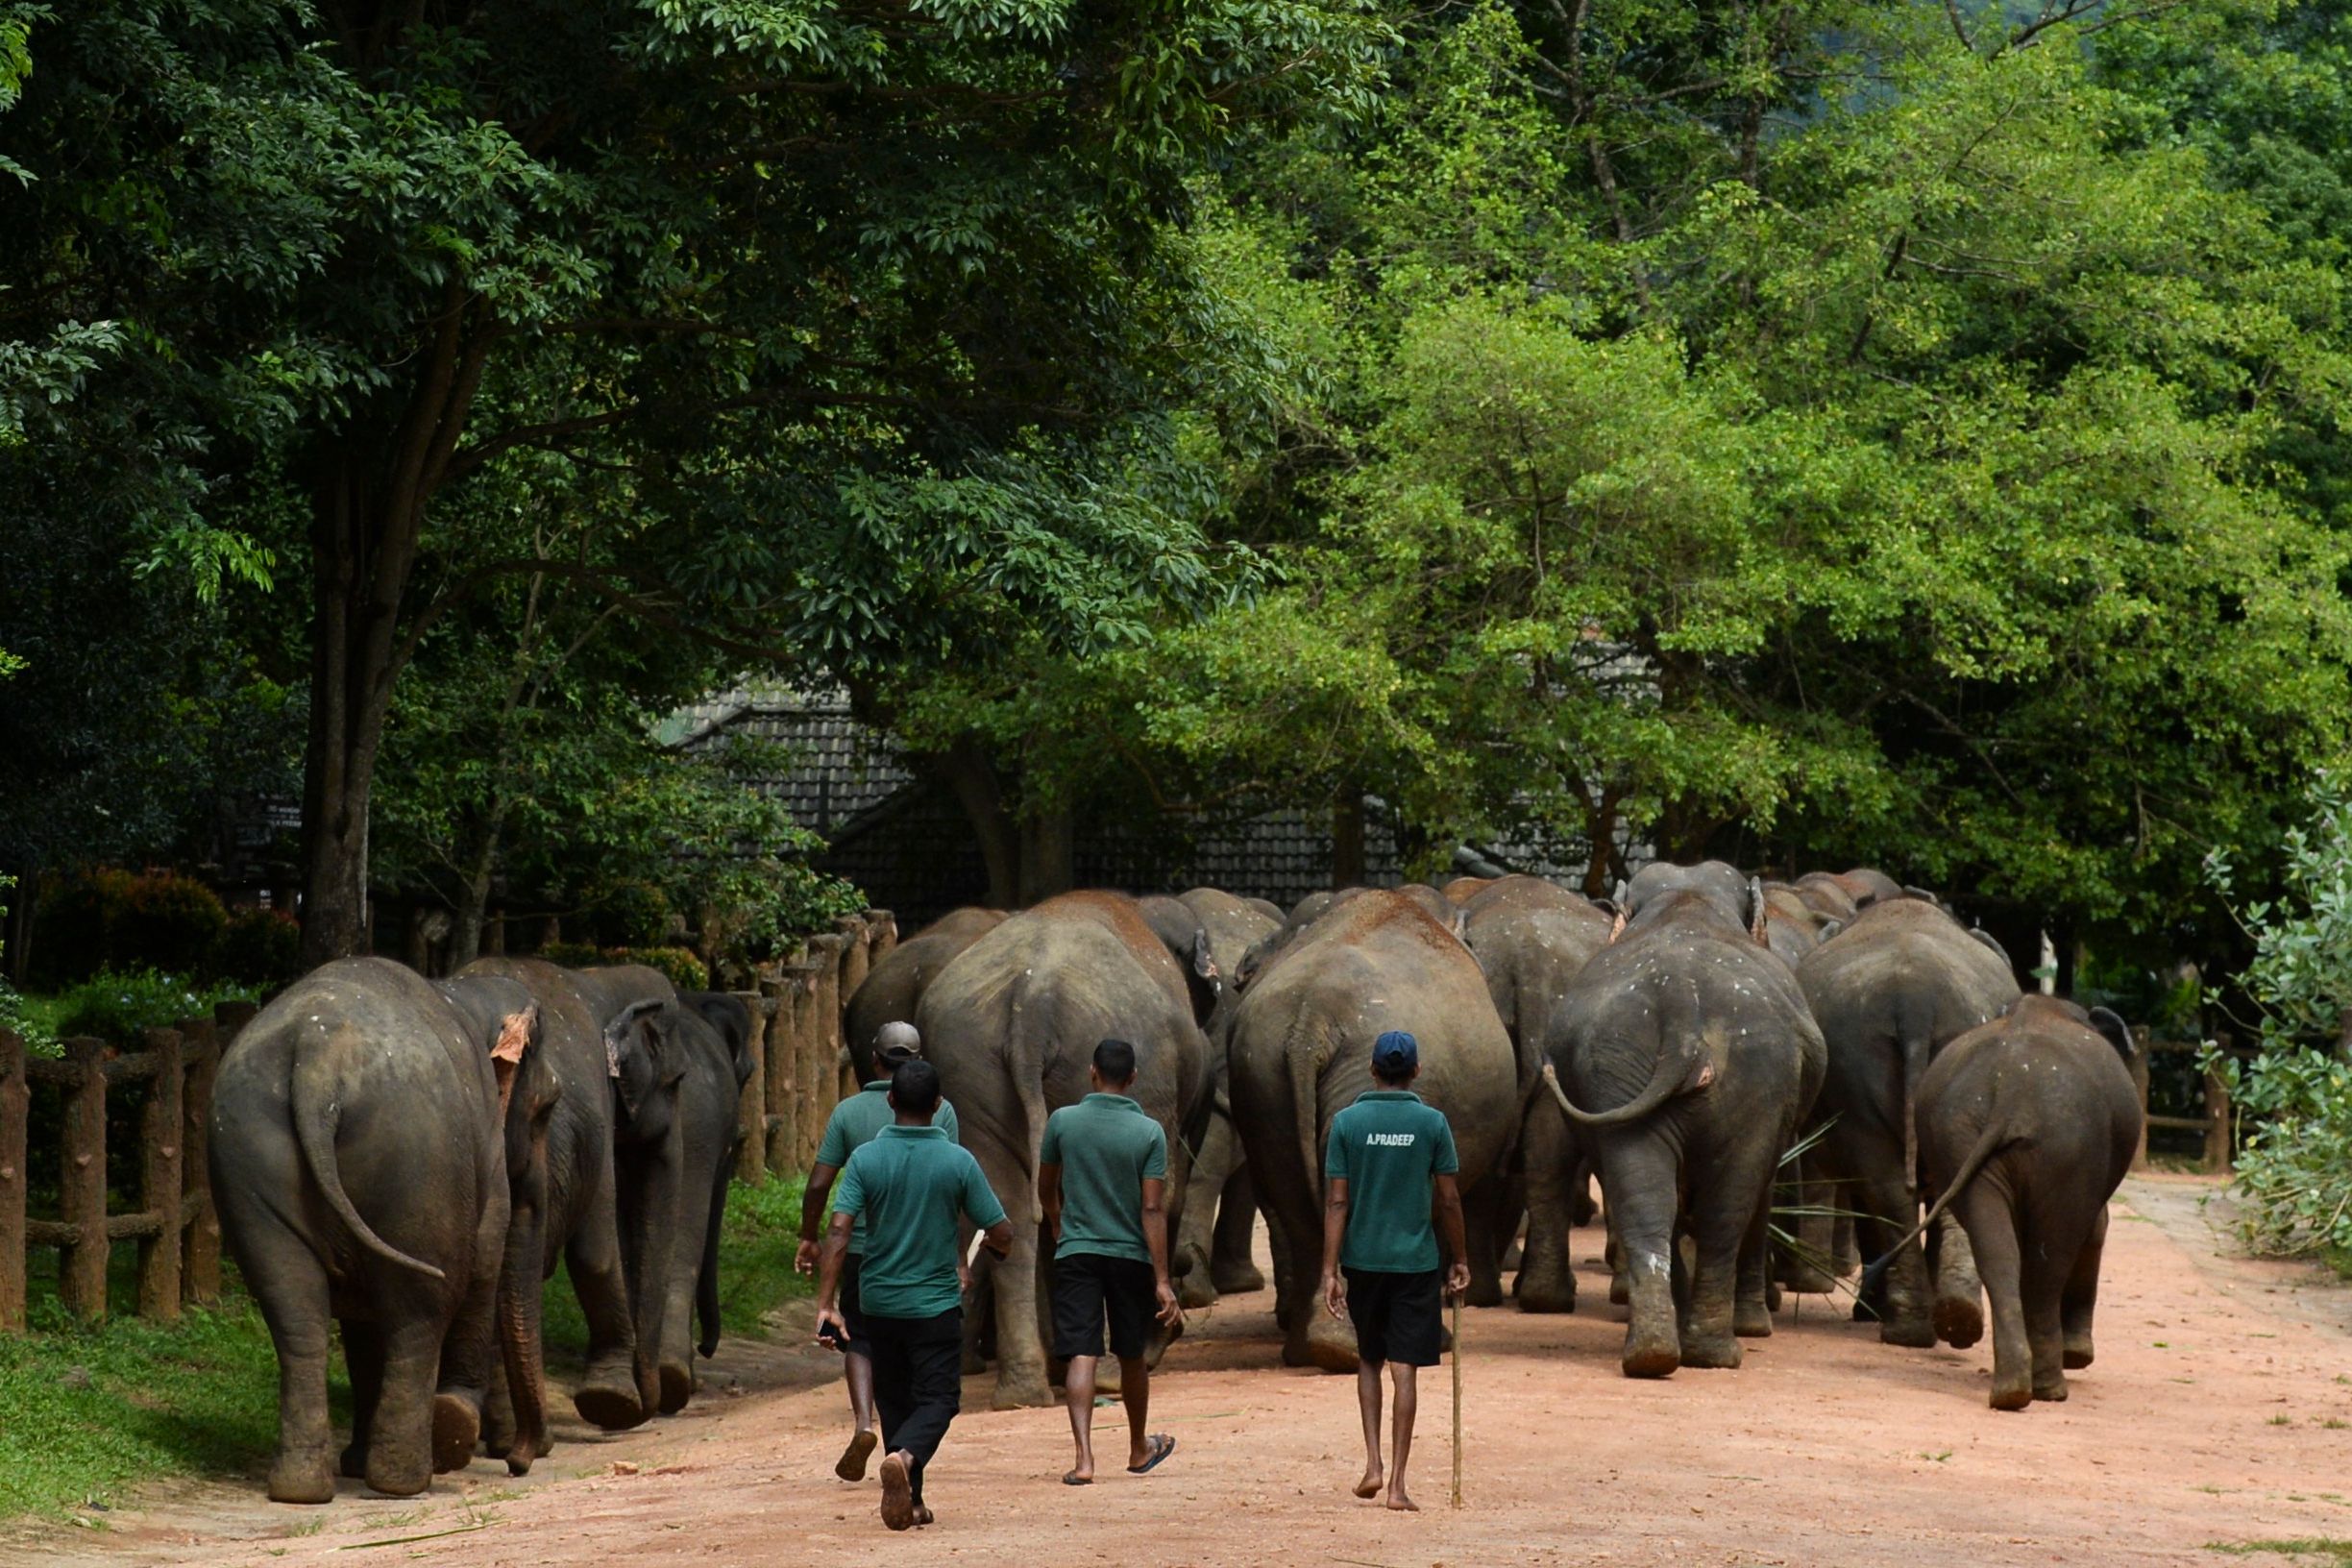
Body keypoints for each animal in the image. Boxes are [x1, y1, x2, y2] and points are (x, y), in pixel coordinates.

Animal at [210, 958, 545, 1502]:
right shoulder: (489, 1162)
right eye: (546, 1108)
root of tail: (317, 1061)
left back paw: (301, 1489)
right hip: (416, 1160)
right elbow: (483, 1265)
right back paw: (413, 1472)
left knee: (293, 1306)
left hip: (247, 1153)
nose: (517, 1465)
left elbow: (359, 1321)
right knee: (422, 1310)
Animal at [914, 890, 1214, 1408]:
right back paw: (1103, 1371)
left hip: (967, 1065)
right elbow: (1164, 1194)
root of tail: (1030, 1003)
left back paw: (1026, 1391)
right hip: (1095, 1063)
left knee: (1014, 1209)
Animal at [1541, 861, 1826, 1377]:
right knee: (1729, 1206)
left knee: (1645, 1195)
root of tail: (1679, 1007)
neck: (1687, 899)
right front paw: (1755, 1327)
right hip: (1756, 1075)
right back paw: (1720, 1352)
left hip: (1619, 1061)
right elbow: (1763, 1191)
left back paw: (1654, 1352)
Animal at [1795, 896, 2020, 1347]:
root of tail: (1917, 1000)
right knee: (1924, 1183)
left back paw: (1914, 1324)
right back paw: (1947, 1320)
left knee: (1889, 1187)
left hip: (1857, 1064)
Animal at [1910, 995, 2141, 1409]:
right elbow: (2096, 1229)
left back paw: (2011, 1391)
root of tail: (2011, 1090)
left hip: (1959, 1135)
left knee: (1998, 1252)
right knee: (2051, 1258)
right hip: (2066, 1146)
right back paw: (2049, 1389)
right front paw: (2078, 1356)